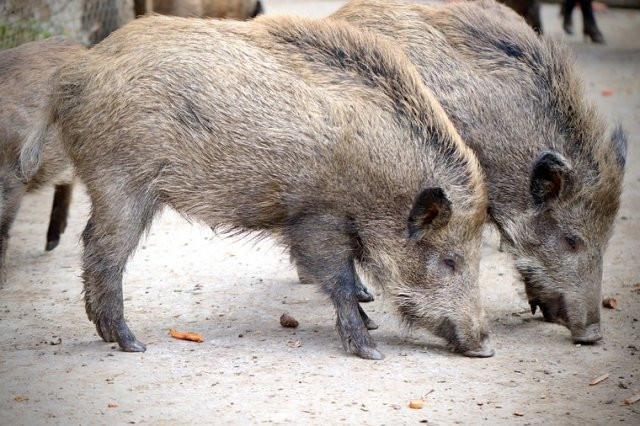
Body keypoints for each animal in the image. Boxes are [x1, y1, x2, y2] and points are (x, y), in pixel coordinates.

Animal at [20, 15, 492, 359]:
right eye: (449, 260)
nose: (485, 347)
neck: (380, 178)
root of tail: (71, 76)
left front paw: (370, 323)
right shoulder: (316, 218)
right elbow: (338, 279)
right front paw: (370, 350)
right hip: (121, 184)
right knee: (102, 254)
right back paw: (132, 344)